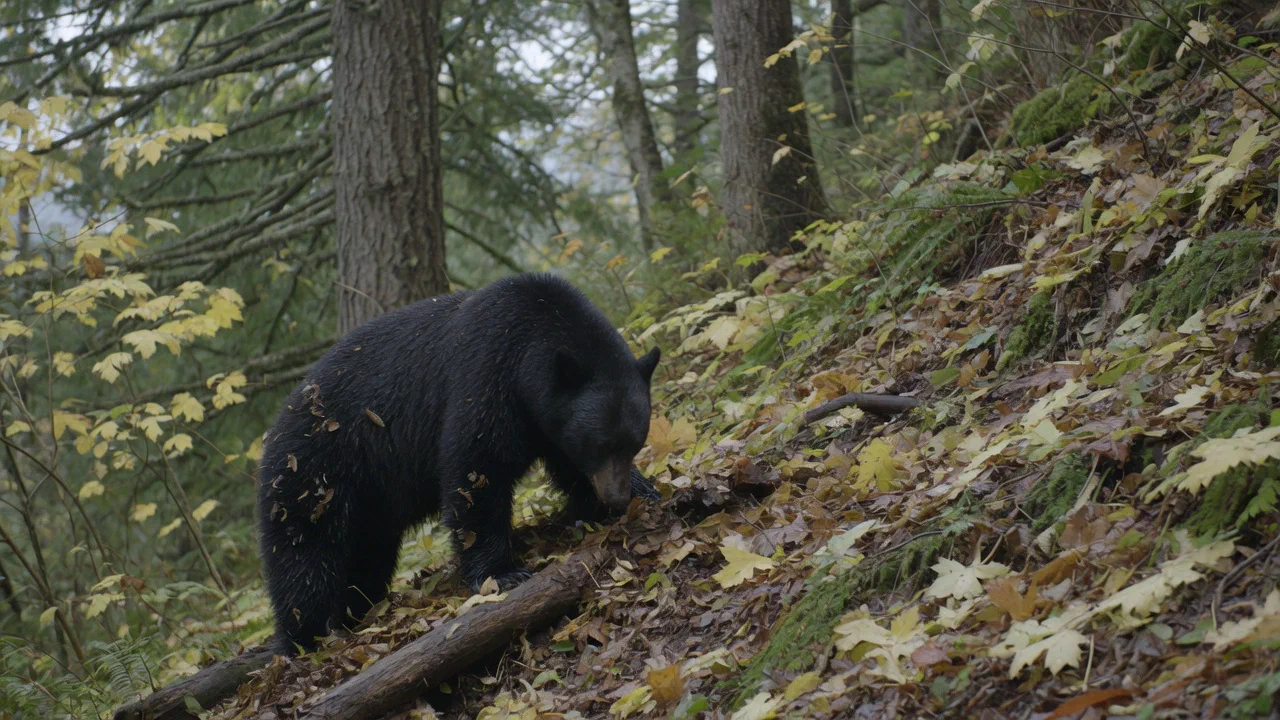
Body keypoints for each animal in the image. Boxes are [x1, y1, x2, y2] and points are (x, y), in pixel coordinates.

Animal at [256, 273, 660, 654]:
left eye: (634, 443)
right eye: (600, 445)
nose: (615, 497)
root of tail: (275, 426)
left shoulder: (548, 418)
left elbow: (567, 465)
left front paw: (642, 493)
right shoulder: (486, 373)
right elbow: (476, 469)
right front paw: (503, 572)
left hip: (368, 501)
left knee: (366, 556)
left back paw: (354, 610)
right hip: (315, 469)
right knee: (302, 555)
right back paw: (302, 637)